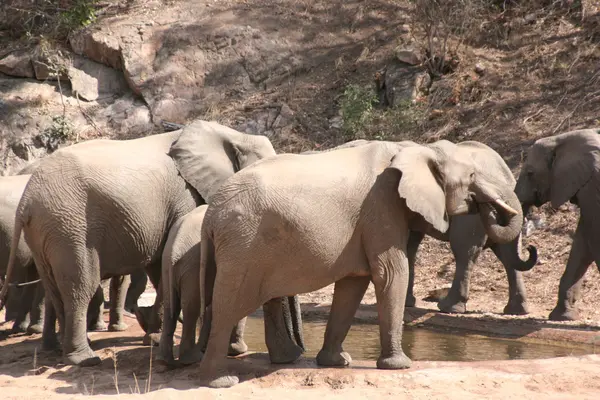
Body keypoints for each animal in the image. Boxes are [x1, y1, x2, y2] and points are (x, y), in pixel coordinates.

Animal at [158, 206, 304, 366]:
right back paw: (193, 358)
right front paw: (236, 350)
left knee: (171, 308)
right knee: (191, 308)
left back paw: (166, 360)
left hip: (169, 267)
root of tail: (174, 248)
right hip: (191, 268)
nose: (303, 350)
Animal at [195, 138, 524, 388]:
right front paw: (400, 366)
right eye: (472, 176)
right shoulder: (382, 206)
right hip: (243, 244)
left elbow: (353, 284)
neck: (413, 148)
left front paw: (337, 363)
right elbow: (390, 273)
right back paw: (221, 381)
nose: (488, 208)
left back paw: (284, 360)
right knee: (227, 305)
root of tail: (210, 215)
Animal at [512, 128, 600, 322]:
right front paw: (563, 316)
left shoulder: (593, 187)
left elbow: (592, 240)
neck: (561, 140)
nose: (530, 247)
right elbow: (583, 244)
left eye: (530, 173)